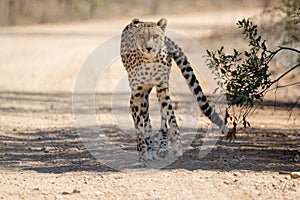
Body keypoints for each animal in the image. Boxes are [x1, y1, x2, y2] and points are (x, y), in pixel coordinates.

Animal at [119, 18, 227, 162]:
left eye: (155, 36)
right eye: (141, 36)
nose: (149, 48)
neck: (150, 60)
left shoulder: (162, 88)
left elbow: (171, 117)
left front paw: (177, 146)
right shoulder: (135, 95)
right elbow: (139, 126)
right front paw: (142, 154)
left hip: (159, 90)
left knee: (162, 115)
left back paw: (162, 146)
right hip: (144, 94)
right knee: (146, 118)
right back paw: (150, 148)